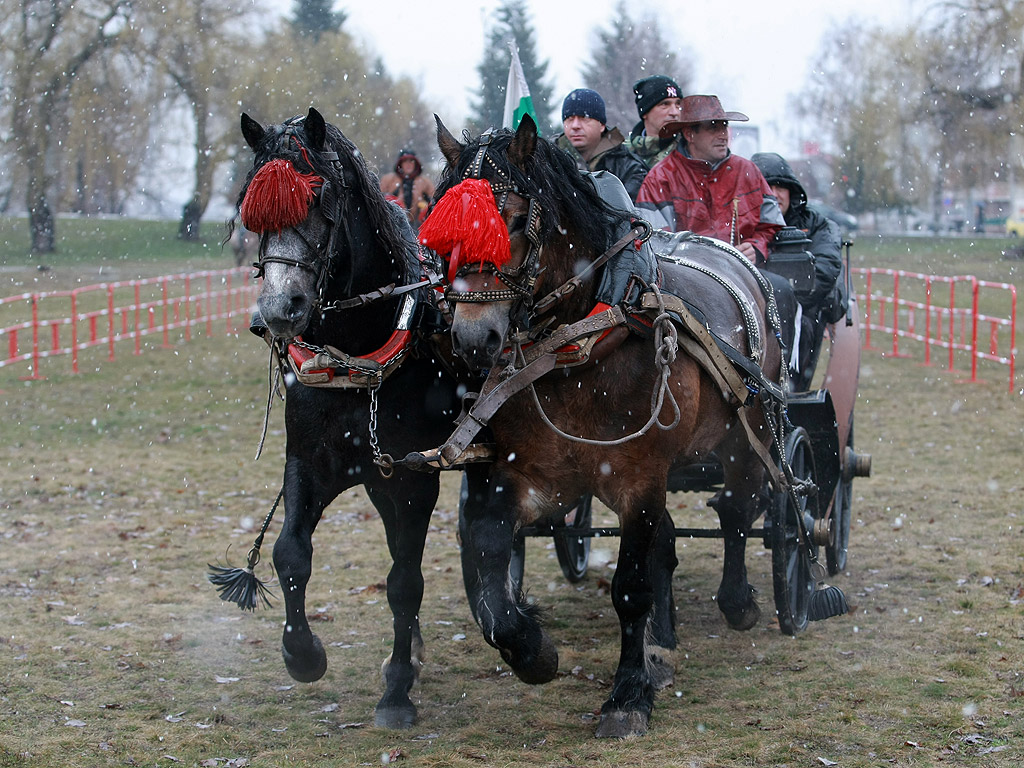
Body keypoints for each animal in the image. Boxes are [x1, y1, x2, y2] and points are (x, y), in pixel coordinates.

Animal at [423, 115, 782, 741]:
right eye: (446, 229)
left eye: (513, 217)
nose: (472, 338)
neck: (583, 343)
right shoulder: (520, 477)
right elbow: (490, 576)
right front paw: (534, 650)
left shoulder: (638, 477)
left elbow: (631, 587)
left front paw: (627, 695)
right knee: (672, 542)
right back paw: (663, 644)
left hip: (746, 434)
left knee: (738, 509)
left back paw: (738, 602)